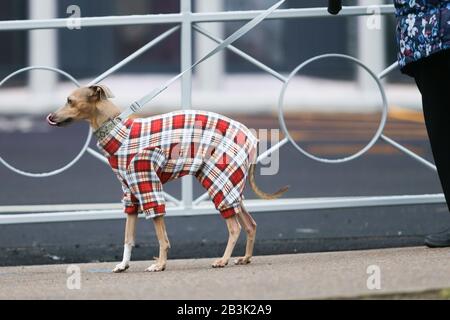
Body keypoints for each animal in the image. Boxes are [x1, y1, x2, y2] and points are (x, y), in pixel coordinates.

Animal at [46, 85, 288, 272]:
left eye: (69, 100)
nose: (50, 117)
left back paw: (223, 260)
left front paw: (160, 264)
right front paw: (123, 265)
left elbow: (161, 235)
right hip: (231, 183)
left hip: (218, 178)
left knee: (235, 227)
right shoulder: (131, 193)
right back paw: (245, 258)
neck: (119, 134)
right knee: (250, 224)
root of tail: (251, 137)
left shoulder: (148, 185)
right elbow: (128, 236)